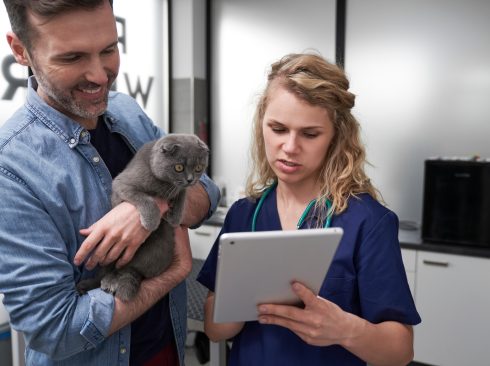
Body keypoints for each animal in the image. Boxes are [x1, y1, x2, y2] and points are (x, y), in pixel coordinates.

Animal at [76, 133, 209, 302]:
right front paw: (152, 222)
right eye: (179, 167)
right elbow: (146, 198)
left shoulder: (180, 188)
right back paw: (107, 282)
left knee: (126, 269)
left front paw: (174, 217)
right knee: (111, 270)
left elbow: (182, 193)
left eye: (199, 168)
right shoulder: (123, 184)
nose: (191, 179)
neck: (163, 184)